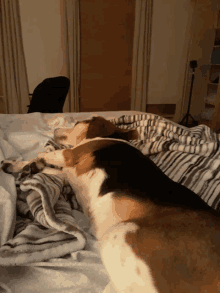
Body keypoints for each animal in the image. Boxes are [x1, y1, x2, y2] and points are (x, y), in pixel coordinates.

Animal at [1, 116, 220, 290]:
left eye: (78, 123)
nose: (55, 129)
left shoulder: (69, 155)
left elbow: (43, 155)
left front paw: (21, 164)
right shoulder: (68, 173)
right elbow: (48, 168)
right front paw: (24, 167)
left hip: (120, 235)